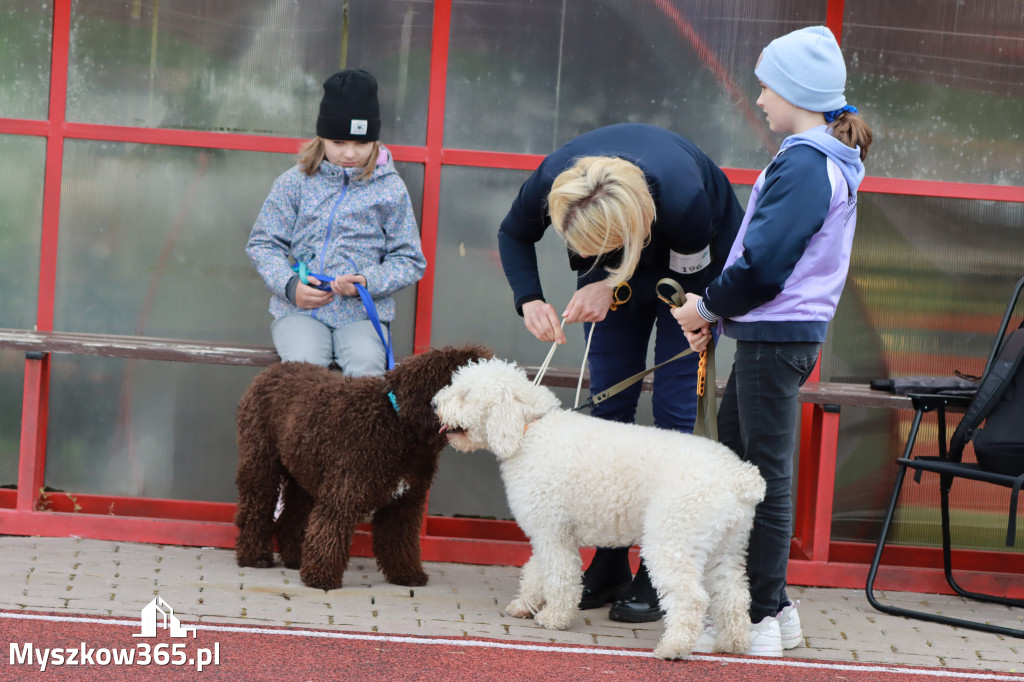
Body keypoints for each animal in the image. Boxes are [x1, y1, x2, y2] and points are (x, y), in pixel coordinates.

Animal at [234, 346, 489, 589]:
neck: (398, 426)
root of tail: (271, 371)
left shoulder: (405, 502)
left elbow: (400, 540)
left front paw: (407, 574)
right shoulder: (343, 493)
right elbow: (330, 532)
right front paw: (321, 577)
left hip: (303, 474)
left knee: (292, 516)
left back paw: (295, 557)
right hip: (261, 464)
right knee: (255, 509)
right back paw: (255, 556)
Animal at [434, 358, 770, 655]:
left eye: (465, 395)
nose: (435, 404)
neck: (531, 430)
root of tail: (740, 478)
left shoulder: (553, 531)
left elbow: (559, 575)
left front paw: (554, 617)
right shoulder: (546, 531)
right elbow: (537, 569)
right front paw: (525, 605)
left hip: (673, 539)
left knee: (691, 598)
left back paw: (673, 648)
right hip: (725, 547)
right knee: (733, 594)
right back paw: (733, 643)